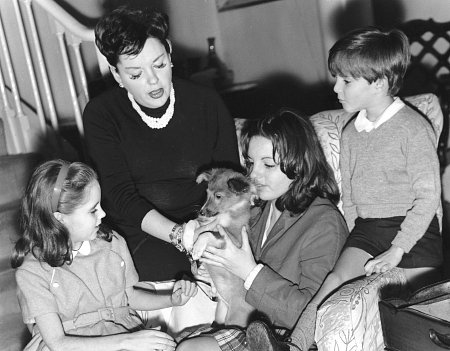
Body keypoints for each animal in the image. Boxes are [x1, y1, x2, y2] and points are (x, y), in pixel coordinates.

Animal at [192, 168, 256, 328]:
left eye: (218, 196)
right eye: (207, 193)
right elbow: (198, 229)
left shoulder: (231, 242)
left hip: (234, 320)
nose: (201, 212)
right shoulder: (208, 225)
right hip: (221, 315)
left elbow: (207, 235)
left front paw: (197, 249)